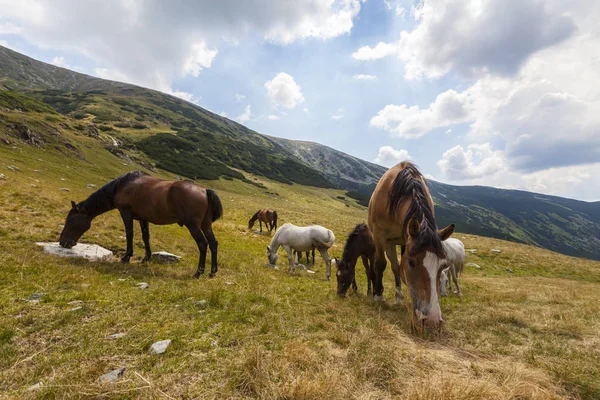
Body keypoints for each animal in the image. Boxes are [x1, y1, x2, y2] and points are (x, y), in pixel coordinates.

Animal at [59, 171, 223, 278]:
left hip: (193, 226)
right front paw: (146, 258)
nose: (63, 242)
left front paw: (126, 257)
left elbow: (129, 234)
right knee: (213, 243)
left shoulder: (126, 213)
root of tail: (204, 190)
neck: (122, 186)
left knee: (203, 244)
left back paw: (198, 272)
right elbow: (146, 237)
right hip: (205, 225)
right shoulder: (143, 218)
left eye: (70, 220)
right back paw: (212, 272)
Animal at [366, 162, 454, 328]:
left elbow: (401, 269)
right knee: (392, 265)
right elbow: (381, 264)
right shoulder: (379, 236)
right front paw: (378, 296)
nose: (432, 320)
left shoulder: (406, 240)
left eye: (443, 265)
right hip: (388, 242)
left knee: (396, 267)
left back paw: (399, 297)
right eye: (412, 263)